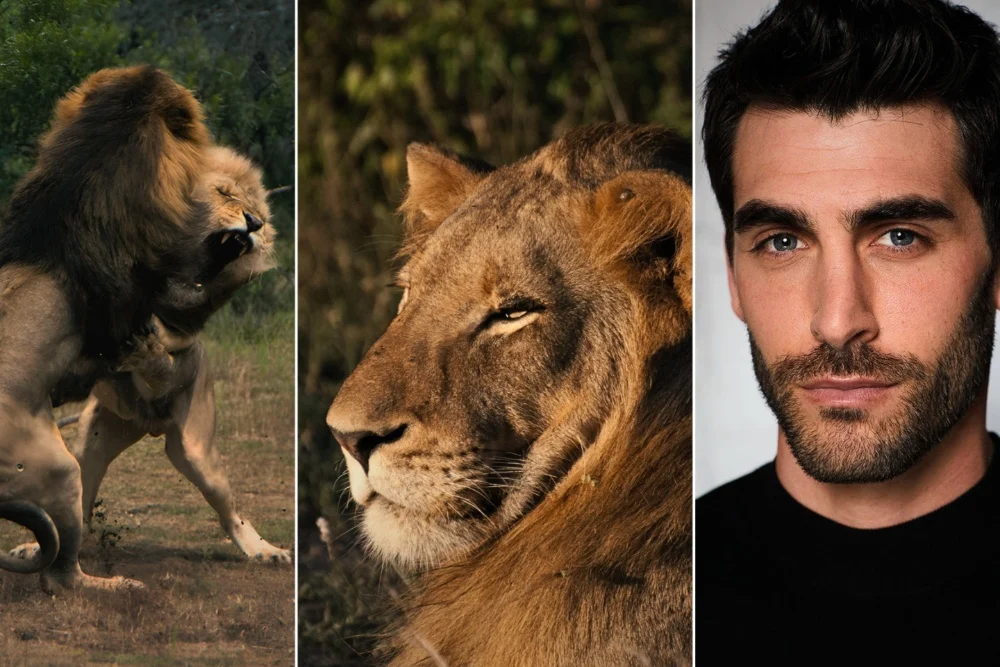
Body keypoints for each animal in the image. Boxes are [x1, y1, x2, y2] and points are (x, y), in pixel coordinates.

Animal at [10, 145, 291, 566]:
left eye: (256, 209)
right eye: (224, 193)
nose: (255, 223)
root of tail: (148, 424)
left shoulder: (180, 339)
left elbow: (161, 355)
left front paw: (145, 351)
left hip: (197, 452)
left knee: (230, 511)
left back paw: (265, 550)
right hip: (94, 441)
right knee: (80, 499)